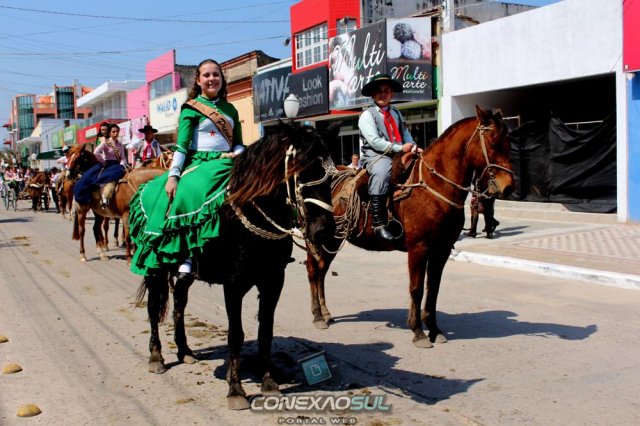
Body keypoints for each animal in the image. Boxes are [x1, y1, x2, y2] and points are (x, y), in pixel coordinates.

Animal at [136, 122, 338, 410]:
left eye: (331, 176)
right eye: (302, 172)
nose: (323, 231)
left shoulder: (273, 280)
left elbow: (266, 331)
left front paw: (268, 382)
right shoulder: (233, 284)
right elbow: (236, 334)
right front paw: (236, 390)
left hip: (185, 274)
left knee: (179, 304)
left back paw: (185, 351)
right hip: (155, 268)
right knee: (154, 309)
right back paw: (156, 357)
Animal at [306, 106, 514, 348]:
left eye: (508, 142)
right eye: (493, 143)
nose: (508, 187)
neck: (434, 187)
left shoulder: (442, 249)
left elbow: (433, 288)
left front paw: (434, 329)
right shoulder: (418, 248)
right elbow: (416, 288)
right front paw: (418, 332)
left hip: (333, 239)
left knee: (321, 270)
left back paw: (326, 313)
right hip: (318, 237)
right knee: (313, 270)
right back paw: (317, 316)